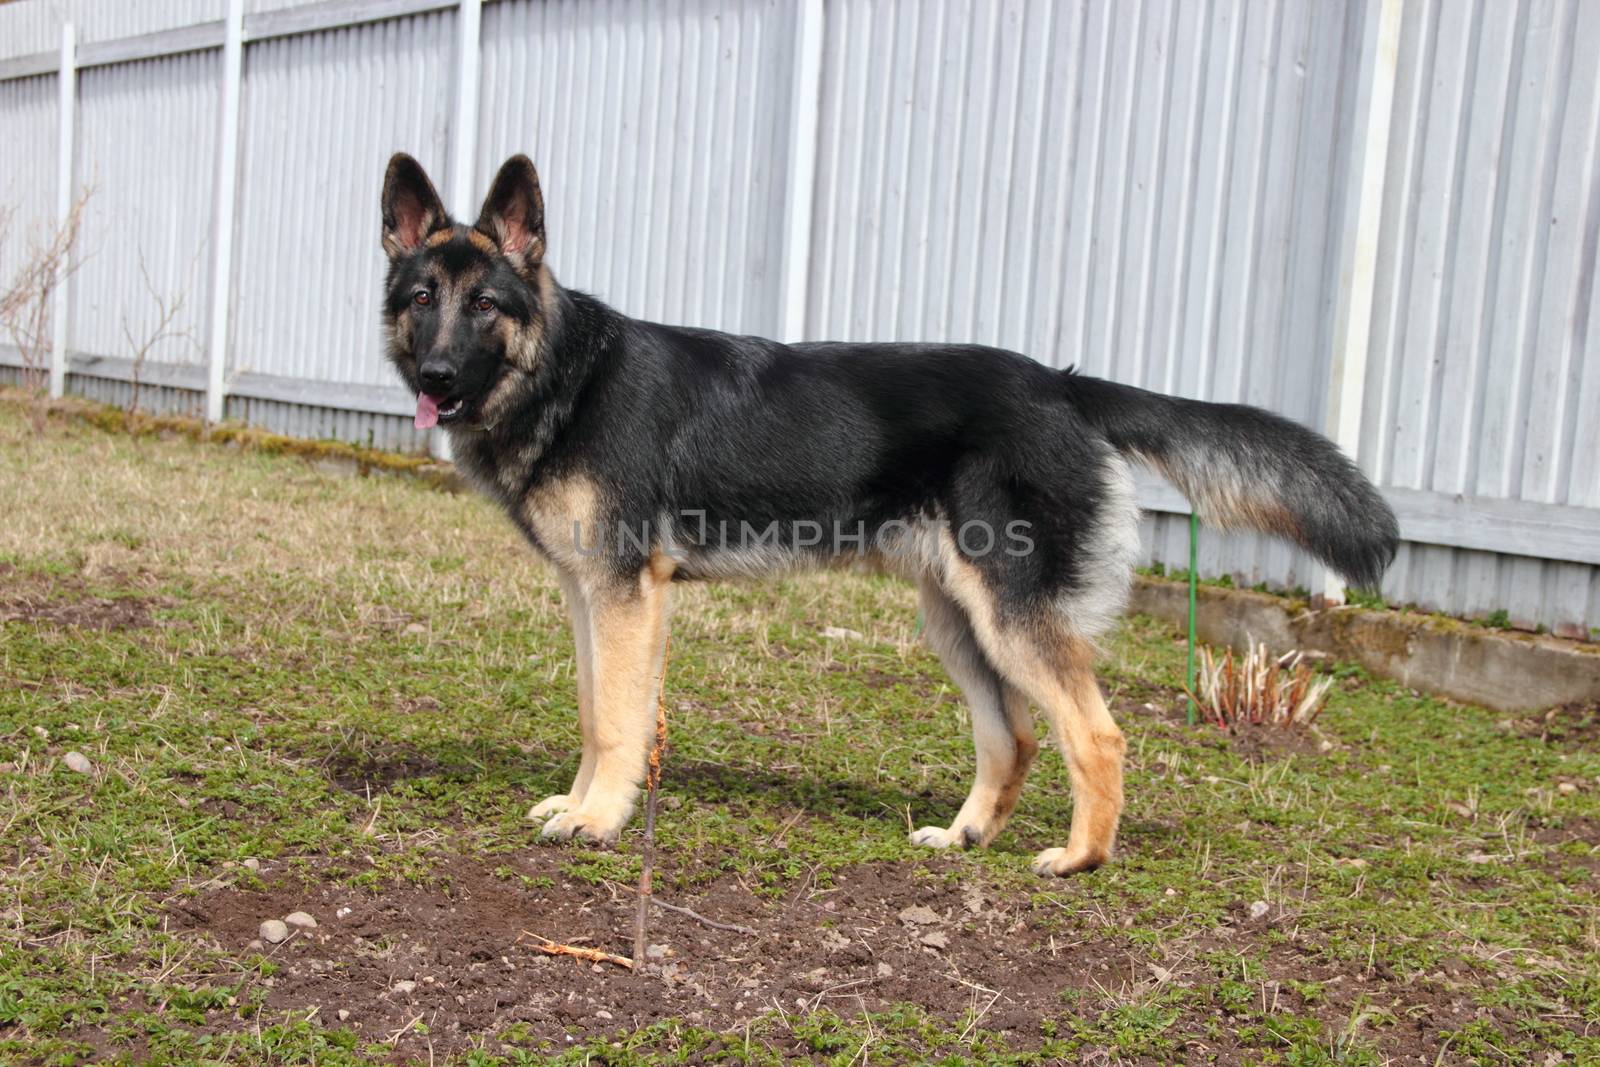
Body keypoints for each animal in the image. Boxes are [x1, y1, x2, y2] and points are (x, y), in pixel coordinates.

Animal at [380, 154, 1395, 883]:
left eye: (486, 304)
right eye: (422, 299)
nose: (435, 378)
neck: (566, 372)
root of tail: (1062, 386)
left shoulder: (627, 598)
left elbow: (618, 721)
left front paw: (598, 820)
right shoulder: (591, 595)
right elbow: (597, 711)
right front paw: (577, 805)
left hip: (1010, 617)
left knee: (1094, 733)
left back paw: (1081, 858)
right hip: (956, 620)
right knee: (1015, 736)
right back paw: (965, 835)